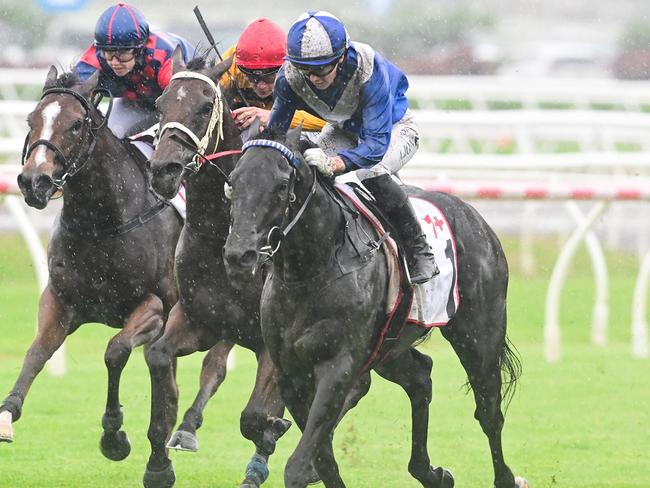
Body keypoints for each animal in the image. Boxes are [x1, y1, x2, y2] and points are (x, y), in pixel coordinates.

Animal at [1, 66, 182, 464]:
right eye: (30, 120)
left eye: (75, 125)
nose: (33, 181)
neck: (103, 223)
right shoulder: (60, 300)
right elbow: (37, 352)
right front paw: (7, 413)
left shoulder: (154, 307)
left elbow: (115, 352)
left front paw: (114, 434)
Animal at [223, 127, 528, 488]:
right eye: (233, 181)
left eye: (282, 184)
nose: (238, 254)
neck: (314, 267)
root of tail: (474, 216)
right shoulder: (291, 372)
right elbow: (322, 458)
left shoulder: (338, 364)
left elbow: (299, 464)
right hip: (388, 347)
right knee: (420, 376)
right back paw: (431, 473)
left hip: (479, 336)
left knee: (489, 409)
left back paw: (506, 477)